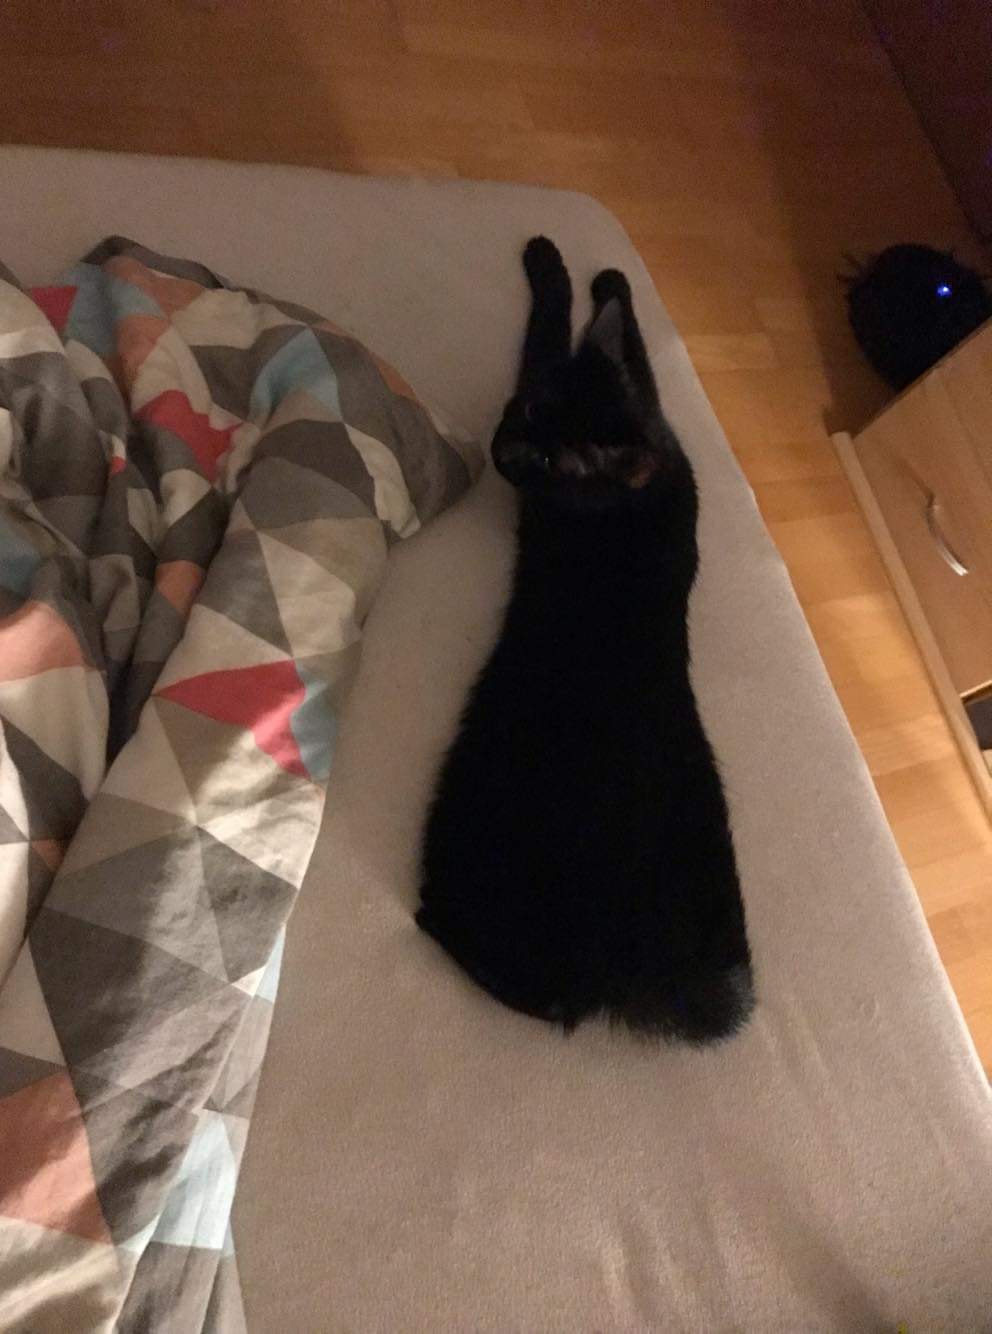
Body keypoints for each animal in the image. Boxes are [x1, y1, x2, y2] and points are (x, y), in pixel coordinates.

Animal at [417, 236, 754, 1042]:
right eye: (531, 410)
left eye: (546, 459)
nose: (502, 446)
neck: (642, 474)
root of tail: (638, 974)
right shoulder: (654, 412)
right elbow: (633, 351)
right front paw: (610, 284)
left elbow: (546, 330)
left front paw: (552, 269)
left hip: (475, 811)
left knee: (549, 1002)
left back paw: (435, 926)